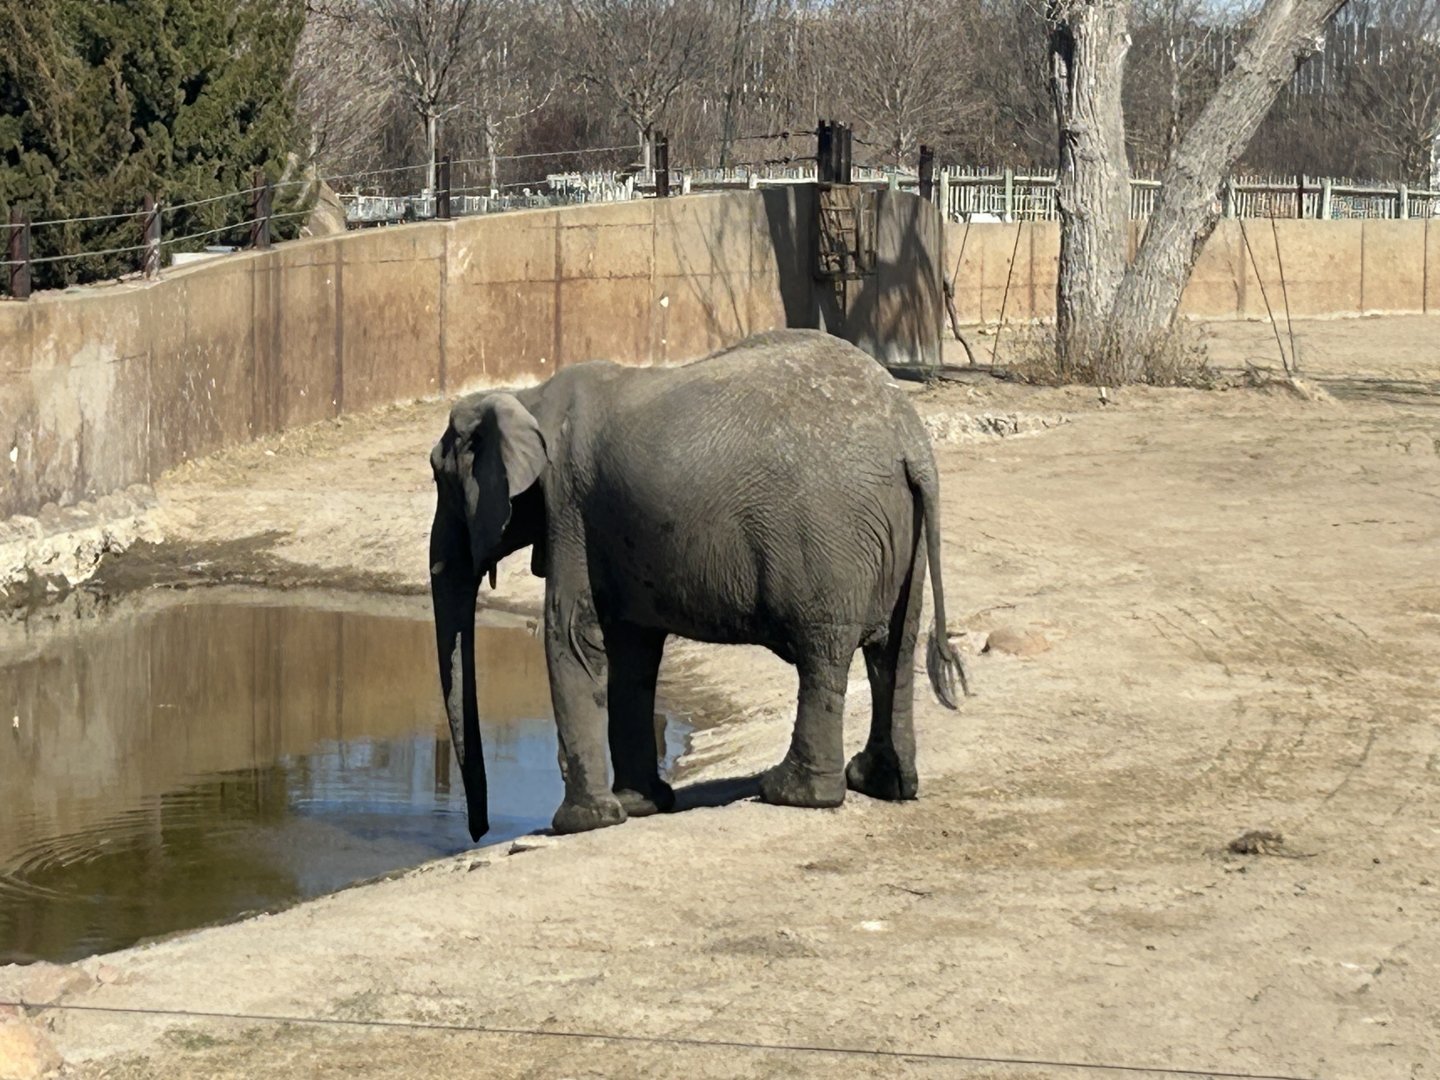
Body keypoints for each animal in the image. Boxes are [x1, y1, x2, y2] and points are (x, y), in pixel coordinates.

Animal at [428, 328, 971, 841]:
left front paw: (581, 824)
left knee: (825, 653)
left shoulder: (570, 506)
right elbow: (631, 650)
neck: (527, 396)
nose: (477, 832)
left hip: (831, 538)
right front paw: (640, 805)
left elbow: (575, 637)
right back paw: (882, 784)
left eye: (438, 478)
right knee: (894, 651)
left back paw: (793, 793)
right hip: (902, 535)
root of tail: (911, 445)